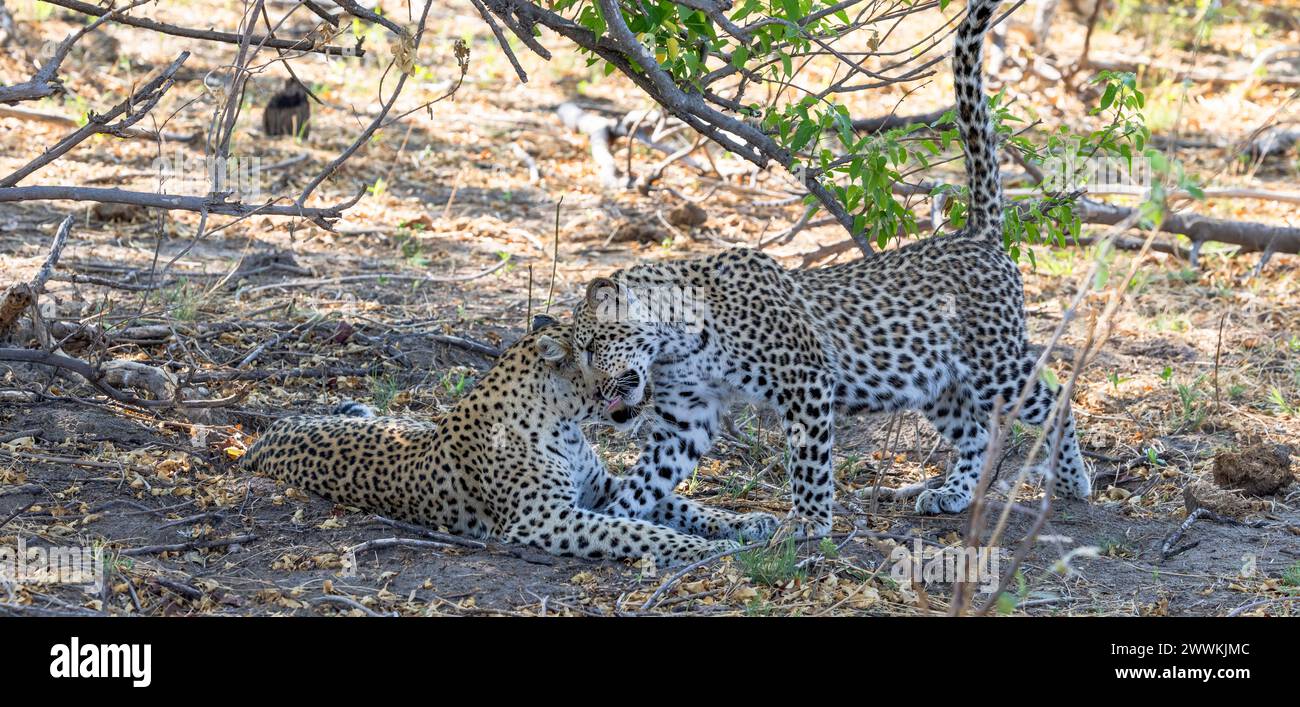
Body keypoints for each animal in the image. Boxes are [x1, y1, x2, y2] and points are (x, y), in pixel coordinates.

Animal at [241, 317, 769, 566]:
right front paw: (707, 550)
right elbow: (637, 532)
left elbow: (683, 507)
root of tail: (264, 437)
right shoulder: (543, 519)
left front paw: (749, 523)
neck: (565, 423)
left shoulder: (601, 490)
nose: (655, 390)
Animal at [559, 0, 1086, 535]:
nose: (597, 393)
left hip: (993, 365)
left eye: (594, 346)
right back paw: (952, 493)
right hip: (934, 380)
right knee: (976, 432)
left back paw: (1072, 480)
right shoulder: (687, 416)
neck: (677, 342)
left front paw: (808, 523)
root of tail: (976, 233)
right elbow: (646, 479)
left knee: (1056, 397)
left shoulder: (806, 380)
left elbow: (809, 461)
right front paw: (610, 521)